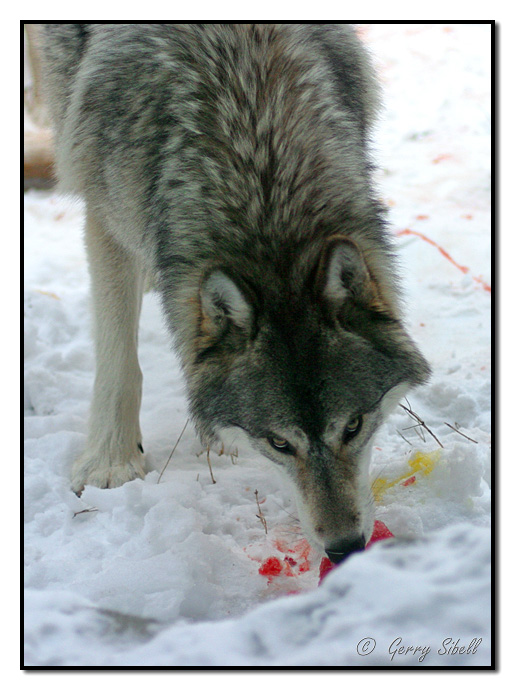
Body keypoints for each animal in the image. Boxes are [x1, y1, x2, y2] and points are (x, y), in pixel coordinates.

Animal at [37, 22, 432, 560]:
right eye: (280, 444)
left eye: (353, 426)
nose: (345, 548)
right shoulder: (106, 209)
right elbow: (118, 357)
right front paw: (111, 463)